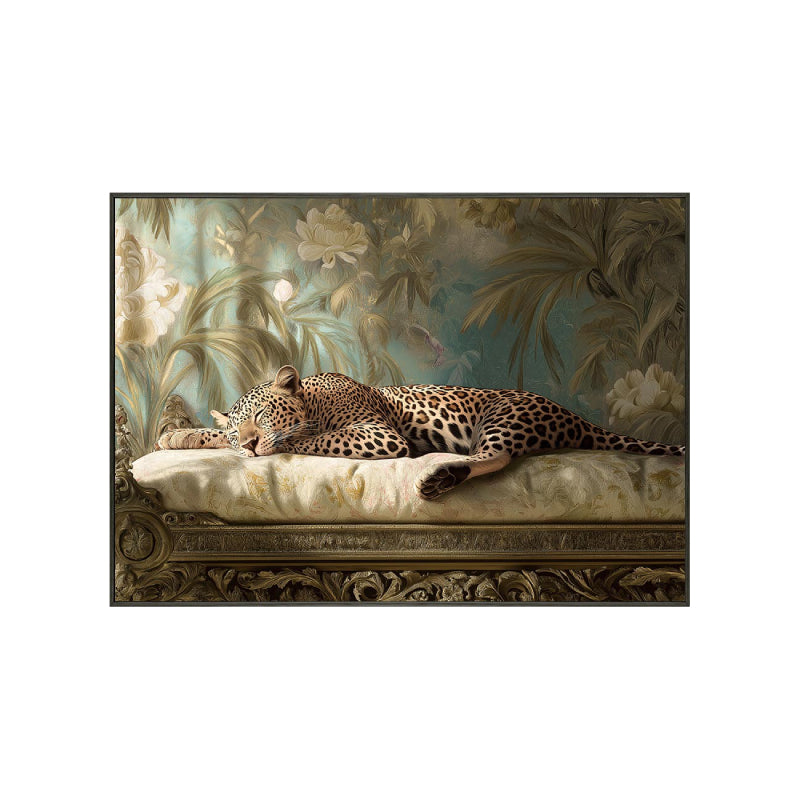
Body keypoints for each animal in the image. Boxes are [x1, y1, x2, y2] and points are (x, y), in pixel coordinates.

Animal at [156, 365, 685, 500]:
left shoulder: (379, 436)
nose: (246, 443)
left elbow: (310, 440)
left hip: (503, 415)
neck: (315, 397)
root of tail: (576, 417)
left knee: (493, 457)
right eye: (235, 432)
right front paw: (179, 437)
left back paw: (438, 477)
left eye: (265, 414)